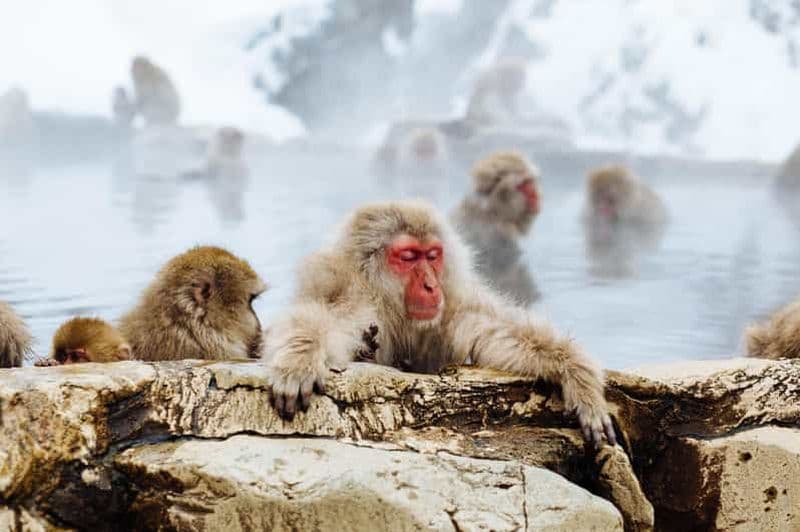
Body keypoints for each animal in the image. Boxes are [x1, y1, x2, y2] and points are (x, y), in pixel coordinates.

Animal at [264, 200, 616, 447]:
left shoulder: (452, 306)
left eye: (432, 255)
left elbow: (496, 332)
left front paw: (576, 374)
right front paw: (299, 359)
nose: (431, 286)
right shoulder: (355, 301)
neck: (392, 306)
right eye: (408, 257)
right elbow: (325, 325)